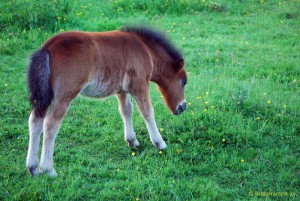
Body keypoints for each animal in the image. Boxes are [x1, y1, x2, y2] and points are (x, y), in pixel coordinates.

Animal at [27, 26, 188, 176]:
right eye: (184, 82)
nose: (183, 107)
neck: (145, 49)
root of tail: (47, 47)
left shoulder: (121, 90)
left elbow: (126, 110)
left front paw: (132, 140)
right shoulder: (140, 85)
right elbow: (147, 112)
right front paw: (160, 143)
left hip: (46, 95)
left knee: (35, 119)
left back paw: (33, 168)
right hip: (65, 95)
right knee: (50, 123)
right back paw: (49, 169)